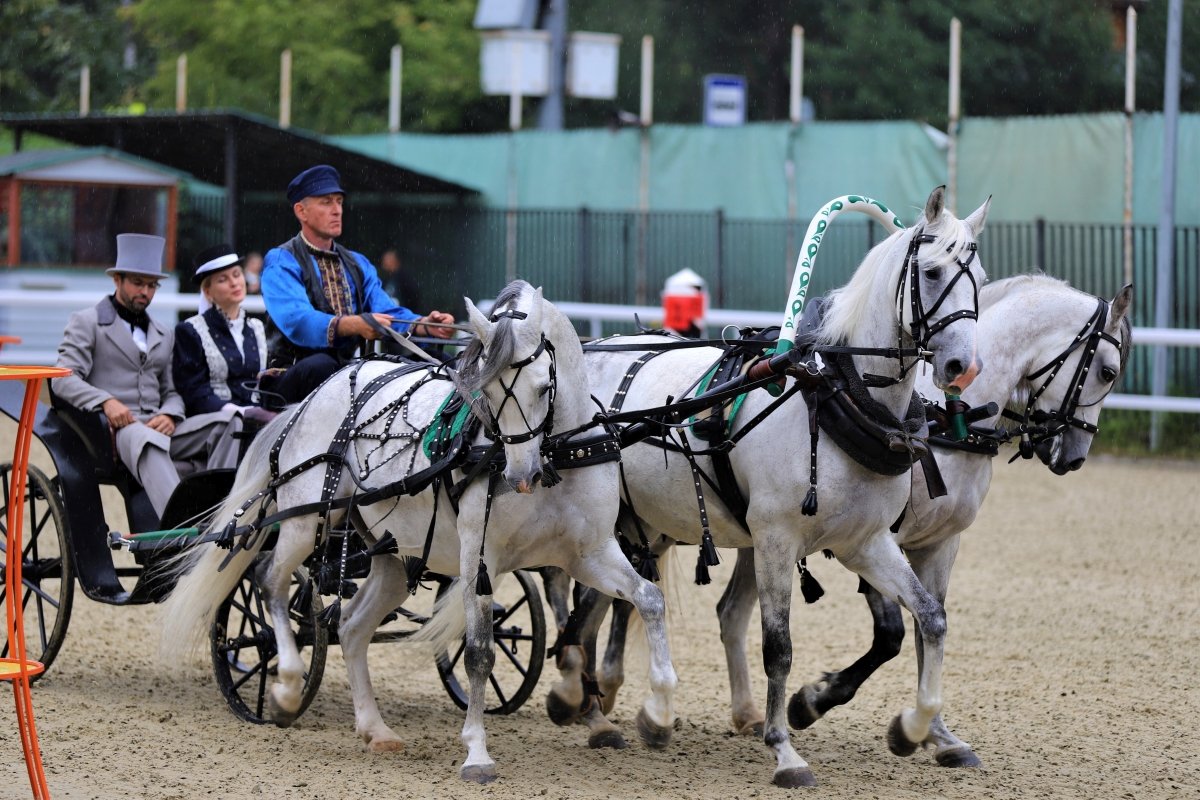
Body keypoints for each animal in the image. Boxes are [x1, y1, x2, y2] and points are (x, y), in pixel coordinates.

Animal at [160, 280, 681, 782]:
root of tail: (311, 397)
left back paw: (375, 729)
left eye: (541, 386)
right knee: (270, 578)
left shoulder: (589, 553)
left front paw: (657, 714)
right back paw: (287, 688)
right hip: (304, 521)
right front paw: (476, 753)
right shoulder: (479, 559)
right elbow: (479, 651)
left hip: (392, 554)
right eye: (486, 392)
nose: (520, 476)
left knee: (351, 628)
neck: (559, 455)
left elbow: (649, 599)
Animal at [549, 188, 988, 786]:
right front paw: (785, 749)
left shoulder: (868, 542)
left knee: (606, 602)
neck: (832, 394)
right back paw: (588, 701)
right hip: (603, 526)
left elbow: (931, 620)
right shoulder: (776, 540)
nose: (962, 366)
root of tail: (597, 346)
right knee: (592, 604)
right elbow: (778, 647)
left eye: (980, 278)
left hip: (640, 524)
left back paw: (600, 707)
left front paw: (915, 728)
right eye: (932, 269)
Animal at [571, 273, 1132, 767]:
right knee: (600, 601)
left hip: (668, 523)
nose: (1074, 455)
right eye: (1108, 370)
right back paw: (589, 702)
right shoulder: (873, 538)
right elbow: (891, 635)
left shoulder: (938, 544)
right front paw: (813, 702)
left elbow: (930, 629)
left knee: (687, 607)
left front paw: (937, 734)